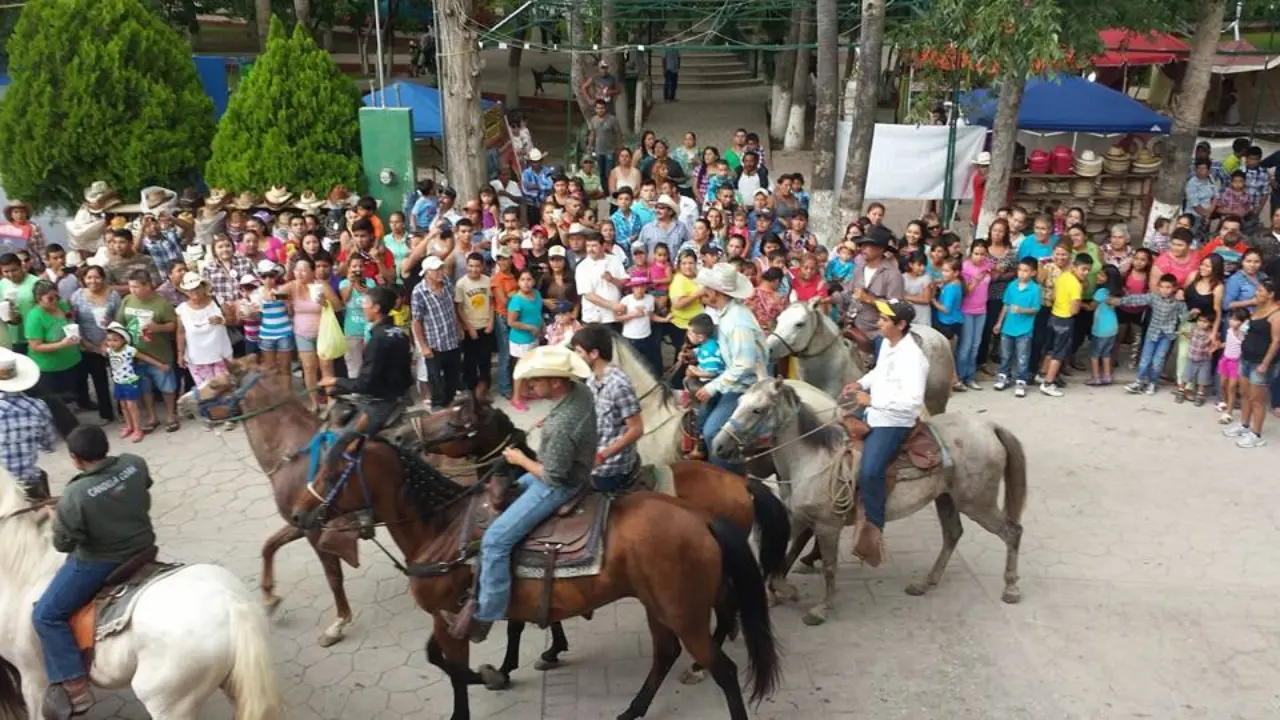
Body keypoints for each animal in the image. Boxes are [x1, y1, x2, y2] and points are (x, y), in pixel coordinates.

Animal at [290, 412, 783, 712]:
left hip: (679, 607)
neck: (442, 528)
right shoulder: (456, 613)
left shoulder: (453, 615)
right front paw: (514, 664)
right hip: (662, 605)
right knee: (671, 651)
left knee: (721, 662)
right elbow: (452, 653)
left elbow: (455, 669)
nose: (297, 513)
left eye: (333, 474)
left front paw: (494, 673)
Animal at [412, 386, 788, 681]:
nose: (410, 432)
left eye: (459, 421)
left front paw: (509, 666)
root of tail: (742, 482)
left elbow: (515, 620)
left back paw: (702, 662)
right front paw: (552, 650)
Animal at [711, 376, 1029, 622]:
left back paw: (1011, 589)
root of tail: (989, 427)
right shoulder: (799, 519)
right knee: (953, 534)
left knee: (1012, 532)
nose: (718, 445)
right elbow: (780, 560)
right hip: (947, 499)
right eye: (738, 402)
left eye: (758, 410)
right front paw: (784, 591)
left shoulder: (827, 526)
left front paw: (821, 608)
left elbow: (829, 567)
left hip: (977, 503)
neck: (811, 460)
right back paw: (926, 583)